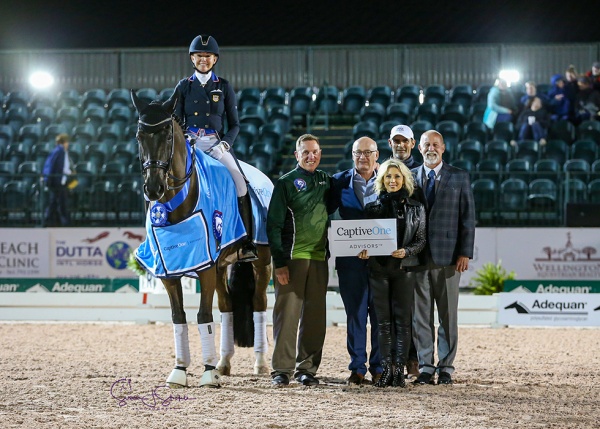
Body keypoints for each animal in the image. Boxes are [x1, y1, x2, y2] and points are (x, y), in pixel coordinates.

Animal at [131, 88, 274, 386]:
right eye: (140, 136)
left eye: (168, 135)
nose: (153, 188)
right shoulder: (169, 268)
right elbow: (179, 317)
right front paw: (180, 370)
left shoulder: (205, 266)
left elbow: (204, 315)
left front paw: (207, 374)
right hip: (221, 266)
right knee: (227, 306)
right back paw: (223, 362)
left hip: (261, 260)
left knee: (259, 304)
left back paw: (259, 363)